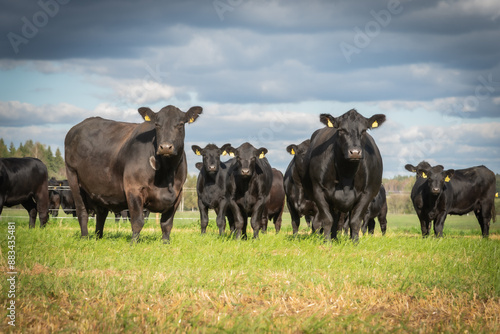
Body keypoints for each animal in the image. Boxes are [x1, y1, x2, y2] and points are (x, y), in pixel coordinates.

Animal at [64, 105, 201, 243]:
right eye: (157, 124)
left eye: (180, 124)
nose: (166, 147)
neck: (167, 173)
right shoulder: (133, 188)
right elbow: (137, 221)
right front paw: (133, 243)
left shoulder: (178, 194)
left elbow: (167, 224)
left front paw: (166, 243)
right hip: (72, 176)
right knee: (82, 212)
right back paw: (85, 238)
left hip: (99, 188)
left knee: (101, 214)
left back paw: (99, 237)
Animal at [300, 109, 386, 243]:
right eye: (341, 130)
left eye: (364, 130)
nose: (355, 152)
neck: (347, 174)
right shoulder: (319, 192)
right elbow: (328, 220)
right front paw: (327, 242)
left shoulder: (367, 194)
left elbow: (355, 221)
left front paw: (355, 243)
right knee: (335, 219)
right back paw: (334, 238)